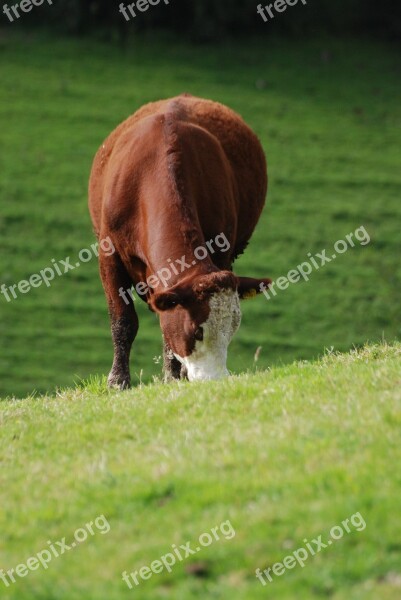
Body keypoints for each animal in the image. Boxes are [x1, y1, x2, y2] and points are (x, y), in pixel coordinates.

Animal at [88, 92, 270, 386]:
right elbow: (122, 320)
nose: (215, 379)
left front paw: (173, 375)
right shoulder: (109, 254)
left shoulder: (221, 251)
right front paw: (118, 380)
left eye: (232, 329)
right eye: (197, 331)